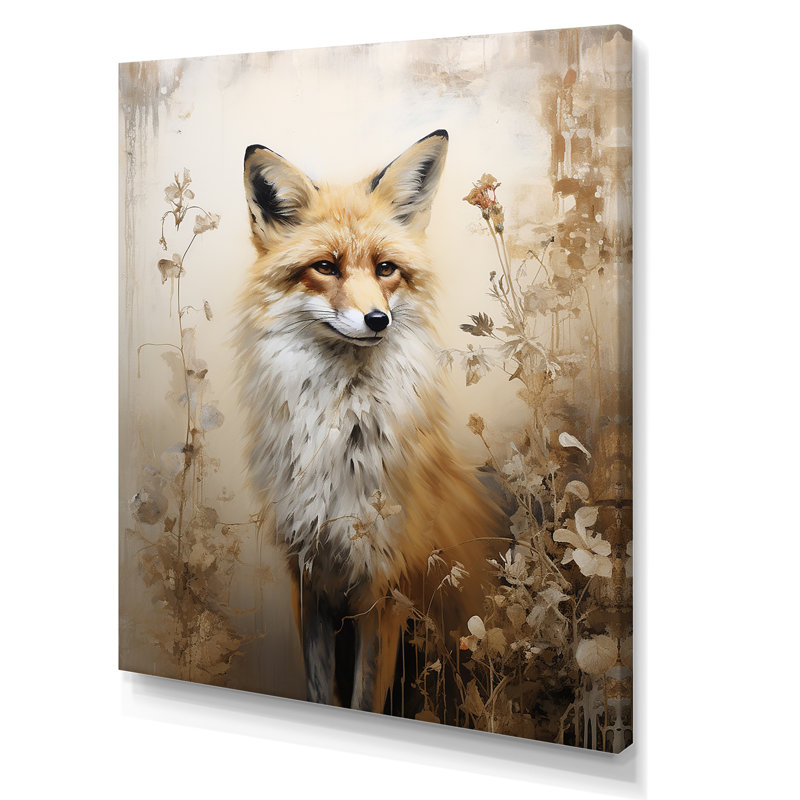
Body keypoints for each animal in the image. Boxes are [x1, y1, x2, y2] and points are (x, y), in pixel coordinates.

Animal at [235, 130, 505, 716]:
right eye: (326, 267)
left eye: (385, 269)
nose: (377, 320)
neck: (342, 431)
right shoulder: (309, 579)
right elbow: (320, 692)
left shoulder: (382, 588)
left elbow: (362, 699)